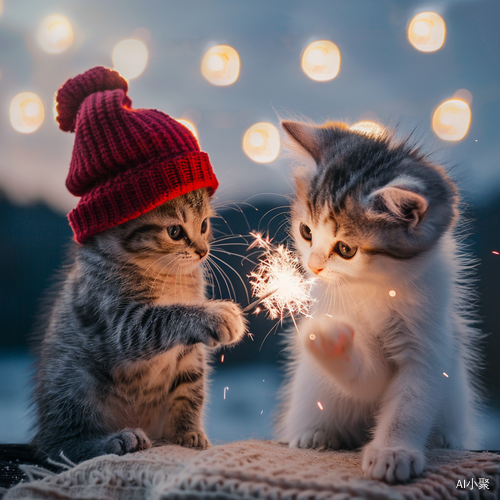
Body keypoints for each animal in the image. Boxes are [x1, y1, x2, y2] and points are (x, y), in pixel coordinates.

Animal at [32, 189, 246, 462]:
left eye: (204, 225)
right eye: (174, 232)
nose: (203, 250)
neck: (168, 277)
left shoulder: (190, 352)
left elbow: (190, 389)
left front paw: (187, 432)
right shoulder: (120, 320)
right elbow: (165, 317)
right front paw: (215, 314)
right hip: (72, 380)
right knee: (60, 446)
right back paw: (116, 440)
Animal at [278, 121, 484, 484]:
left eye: (346, 249)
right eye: (306, 232)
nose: (314, 266)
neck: (376, 287)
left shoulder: (430, 346)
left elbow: (409, 404)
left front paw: (394, 452)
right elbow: (367, 379)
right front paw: (329, 343)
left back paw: (448, 439)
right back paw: (315, 434)